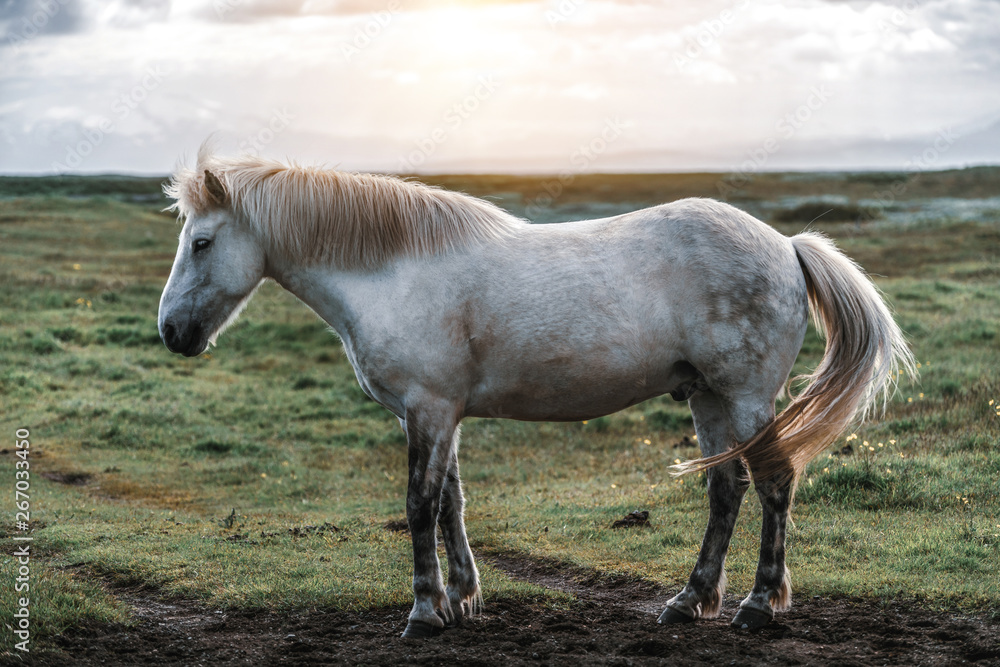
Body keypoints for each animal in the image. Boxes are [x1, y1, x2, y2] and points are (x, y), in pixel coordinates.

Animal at [156, 145, 916, 636]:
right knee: (726, 489)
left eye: (201, 242)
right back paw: (689, 600)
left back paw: (759, 605)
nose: (172, 331)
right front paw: (463, 598)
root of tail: (786, 245)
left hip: (748, 395)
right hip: (708, 398)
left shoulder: (429, 409)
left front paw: (424, 611)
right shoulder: (438, 413)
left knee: (774, 482)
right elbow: (452, 500)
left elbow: (420, 503)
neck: (394, 270)